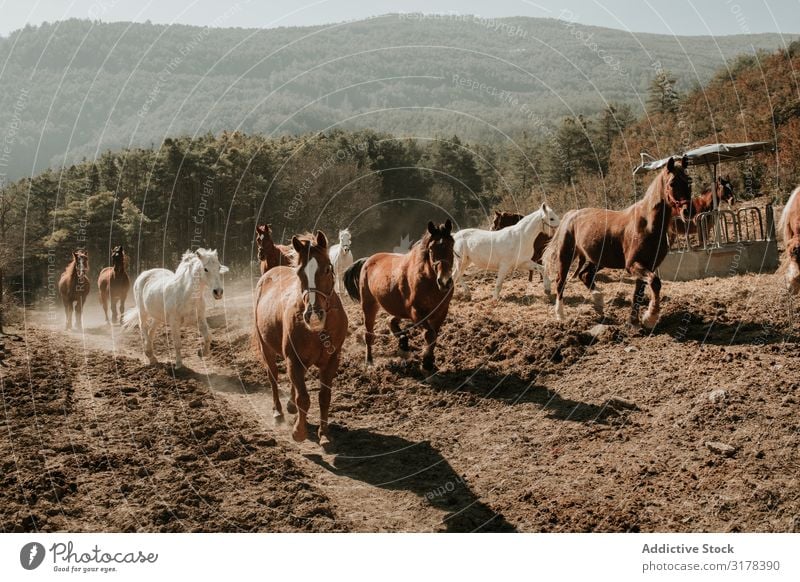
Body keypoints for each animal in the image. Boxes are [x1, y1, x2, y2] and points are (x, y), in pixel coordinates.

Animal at [253, 230, 346, 444]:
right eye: (299, 273)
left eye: (327, 269)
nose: (313, 314)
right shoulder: (293, 359)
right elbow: (303, 398)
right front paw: (299, 431)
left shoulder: (331, 360)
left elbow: (324, 397)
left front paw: (324, 433)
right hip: (266, 348)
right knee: (273, 377)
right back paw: (278, 412)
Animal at [346, 219, 456, 374]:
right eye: (431, 249)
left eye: (451, 245)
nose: (445, 281)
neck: (429, 281)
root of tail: (368, 260)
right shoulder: (416, 312)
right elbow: (430, 334)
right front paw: (426, 364)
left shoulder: (441, 312)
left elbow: (434, 335)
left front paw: (429, 362)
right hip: (369, 305)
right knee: (369, 334)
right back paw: (369, 361)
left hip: (398, 309)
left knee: (390, 320)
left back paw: (403, 342)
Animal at [544, 157, 692, 330]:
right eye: (672, 183)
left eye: (689, 181)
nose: (688, 211)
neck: (647, 225)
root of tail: (572, 214)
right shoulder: (633, 265)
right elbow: (655, 283)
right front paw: (650, 318)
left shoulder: (648, 265)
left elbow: (638, 293)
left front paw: (634, 322)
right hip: (566, 256)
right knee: (560, 282)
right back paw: (561, 315)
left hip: (598, 260)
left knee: (585, 275)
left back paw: (599, 302)